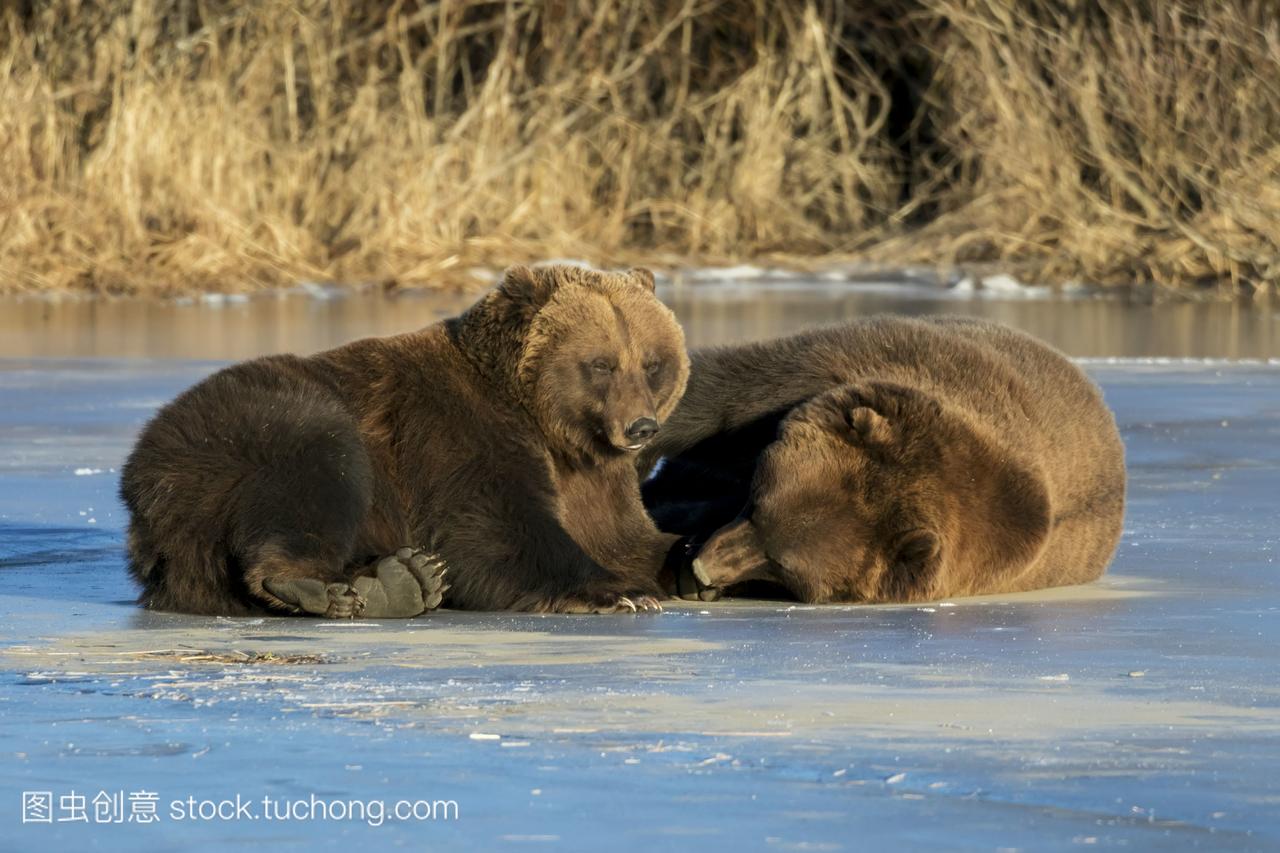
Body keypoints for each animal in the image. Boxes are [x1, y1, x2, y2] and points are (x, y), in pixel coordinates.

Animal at [120, 262, 691, 614]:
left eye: (652, 362)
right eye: (601, 363)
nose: (640, 427)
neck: (548, 425)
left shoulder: (595, 478)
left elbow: (628, 536)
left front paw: (689, 562)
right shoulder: (455, 437)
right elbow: (495, 531)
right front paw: (617, 593)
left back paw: (402, 580)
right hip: (258, 428)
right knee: (314, 477)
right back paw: (318, 586)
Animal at [640, 315, 1121, 601]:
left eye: (783, 564)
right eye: (757, 505)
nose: (705, 568)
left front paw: (687, 567)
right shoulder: (815, 381)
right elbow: (711, 398)